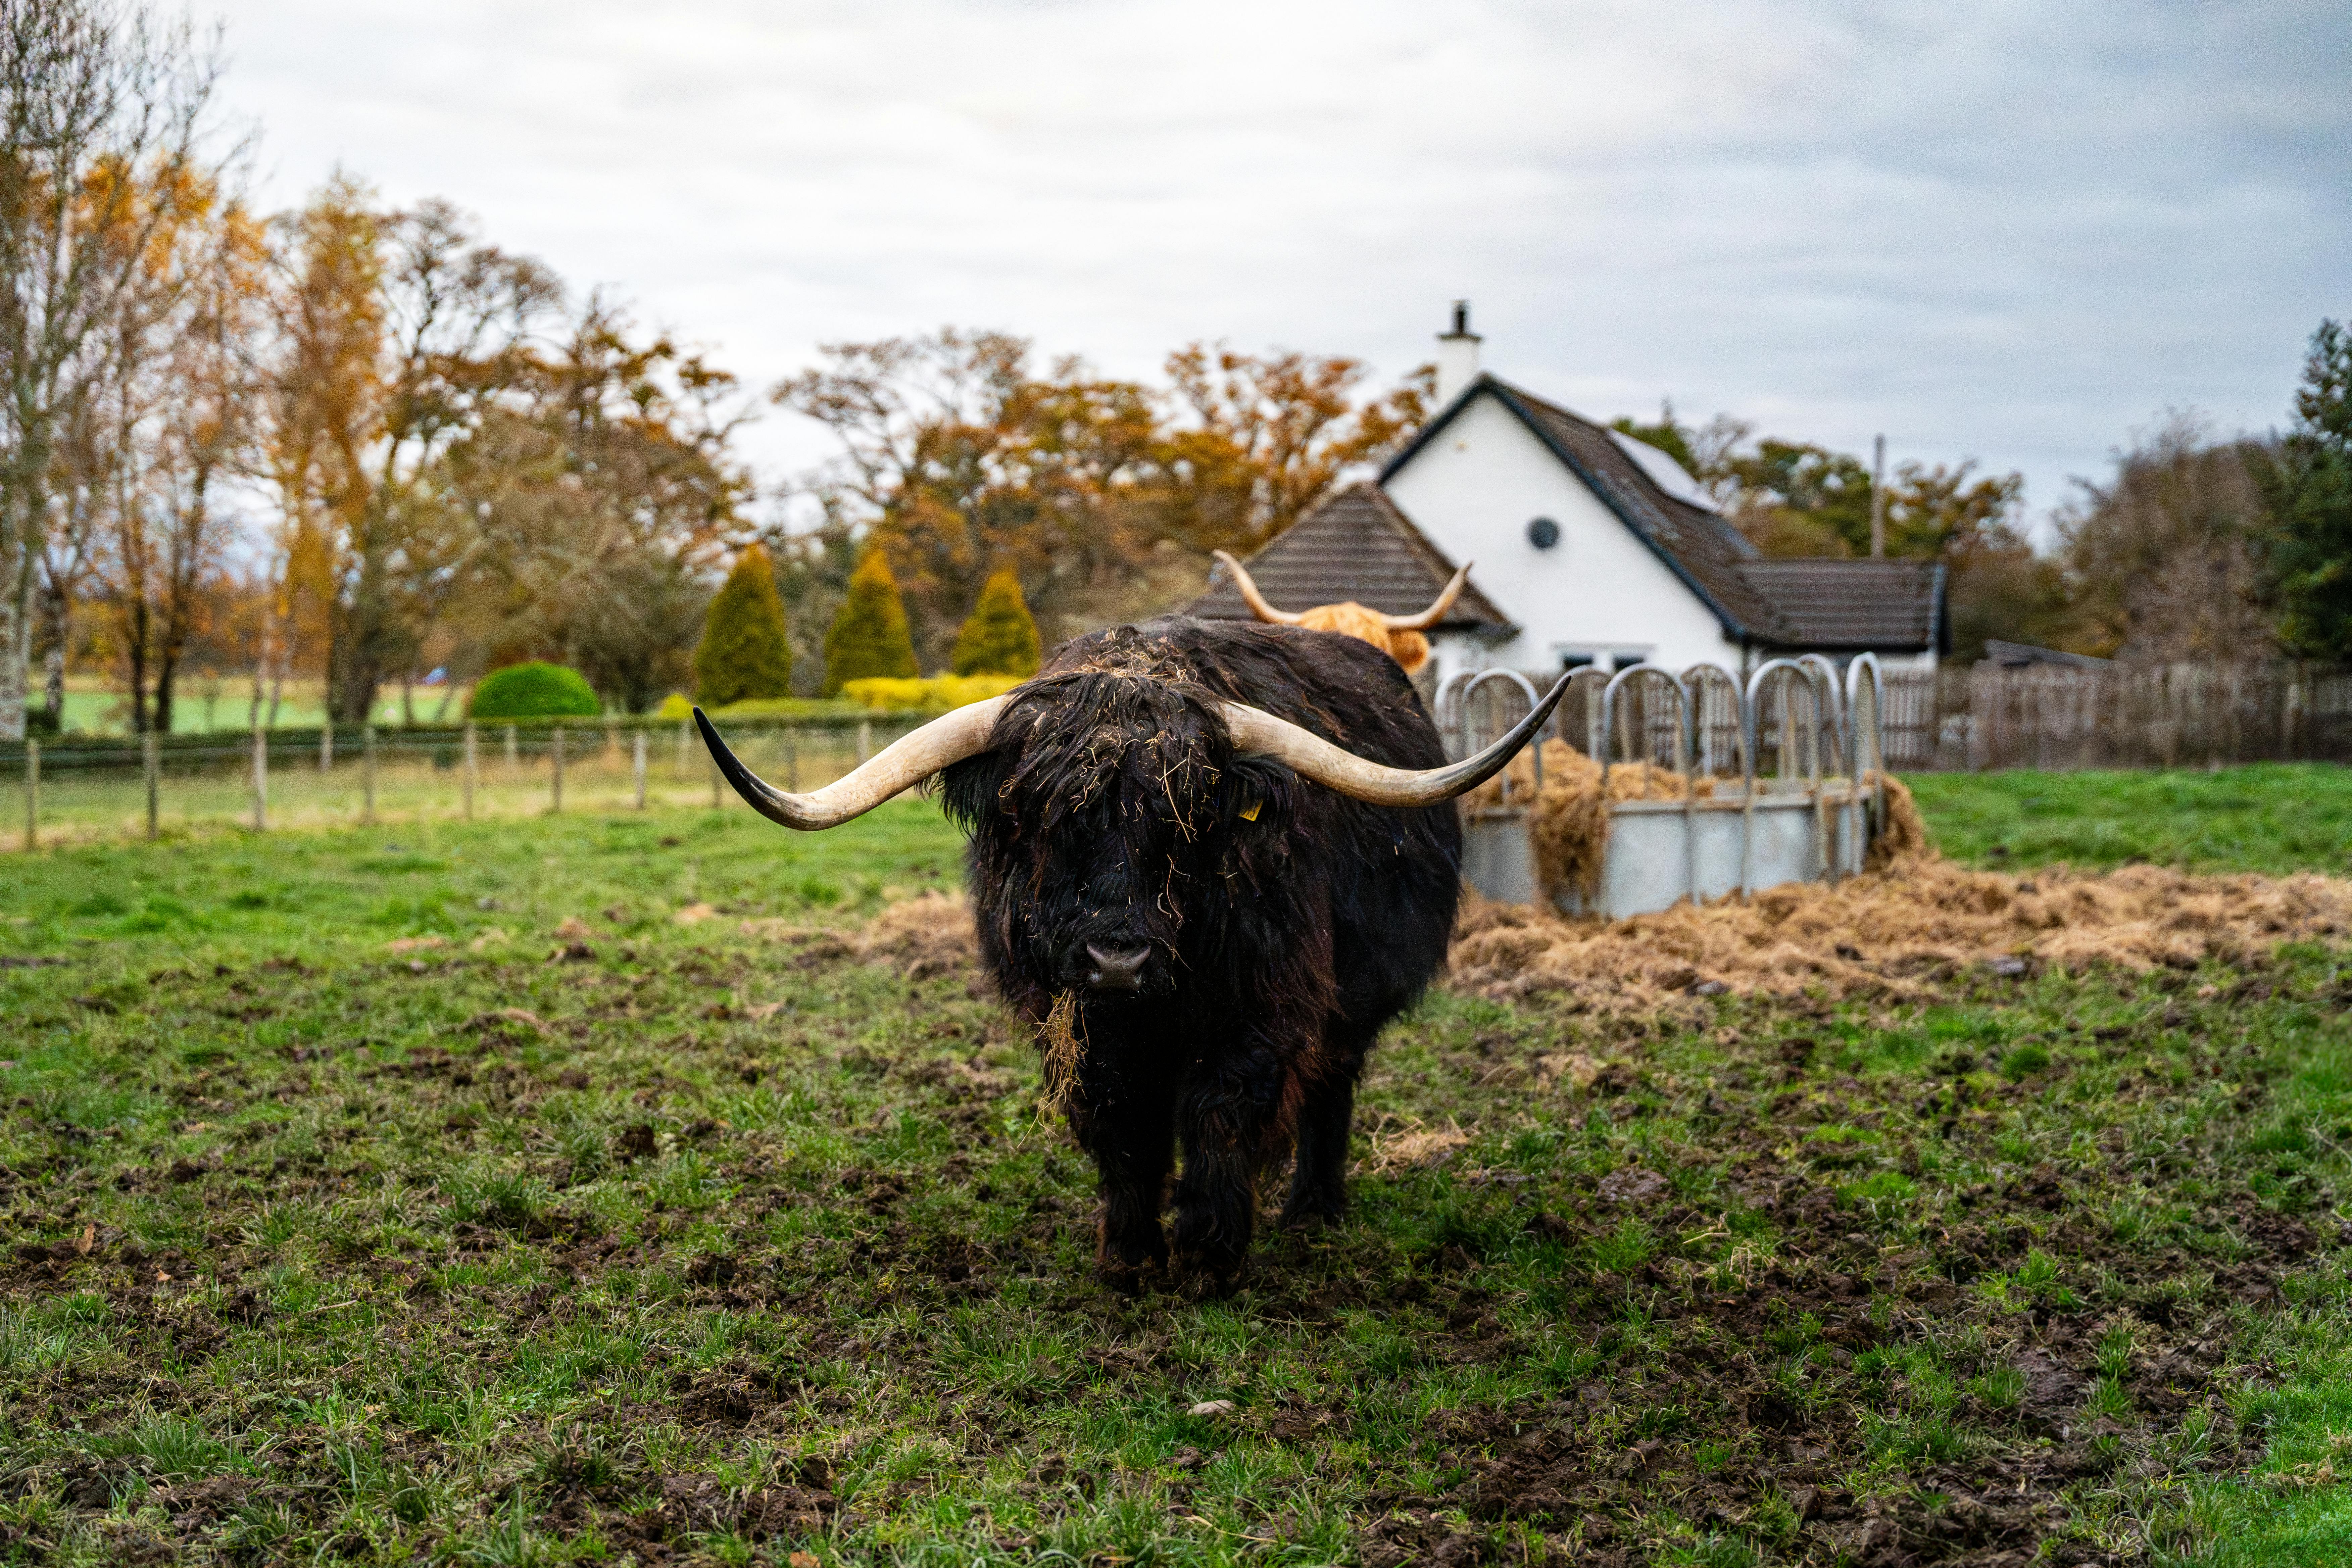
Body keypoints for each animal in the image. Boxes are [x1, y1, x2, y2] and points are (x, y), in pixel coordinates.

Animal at [696, 616, 1562, 1288]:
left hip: (1357, 999)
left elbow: (1221, 1110)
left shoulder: (1263, 1005)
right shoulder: (1082, 1026)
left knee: (1330, 1085)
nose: (1118, 961)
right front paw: (1131, 1254)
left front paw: (1210, 1253)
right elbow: (1122, 1121)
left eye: (1184, 819)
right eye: (1044, 815)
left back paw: (1315, 1211)